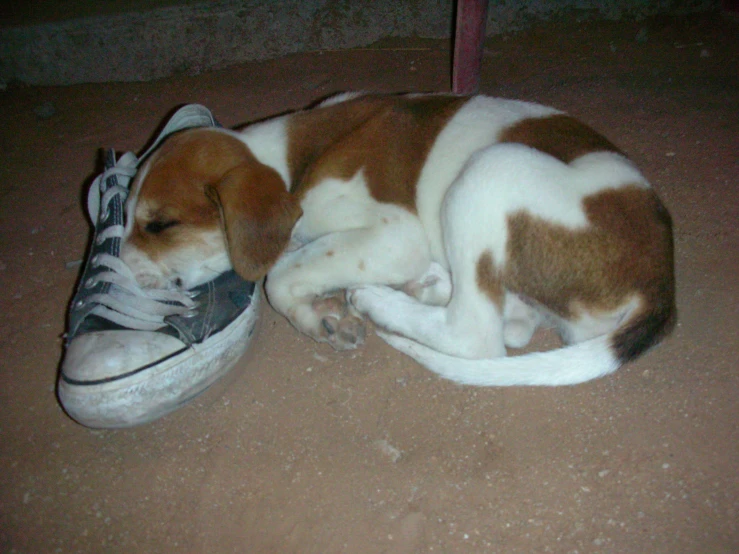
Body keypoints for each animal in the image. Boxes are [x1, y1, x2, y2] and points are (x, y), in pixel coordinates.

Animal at [120, 92, 676, 384]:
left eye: (159, 224)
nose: (117, 272)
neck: (290, 165)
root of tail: (660, 283)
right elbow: (292, 261)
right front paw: (318, 311)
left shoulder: (395, 234)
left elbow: (278, 275)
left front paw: (315, 317)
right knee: (513, 323)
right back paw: (424, 286)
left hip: (490, 171)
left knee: (477, 335)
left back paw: (381, 301)